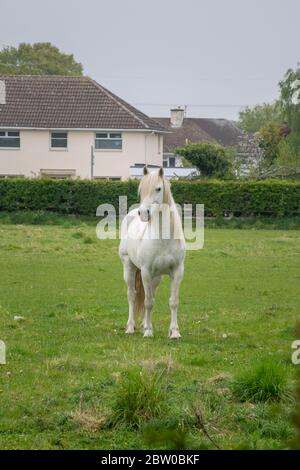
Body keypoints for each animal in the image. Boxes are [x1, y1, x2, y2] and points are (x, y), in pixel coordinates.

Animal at [119, 167, 185, 340]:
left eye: (158, 188)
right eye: (141, 189)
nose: (143, 213)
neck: (164, 239)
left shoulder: (177, 272)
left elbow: (173, 301)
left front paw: (174, 332)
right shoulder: (146, 272)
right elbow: (148, 302)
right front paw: (148, 331)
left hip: (157, 278)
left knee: (151, 295)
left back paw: (143, 325)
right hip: (130, 268)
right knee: (132, 296)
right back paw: (131, 327)